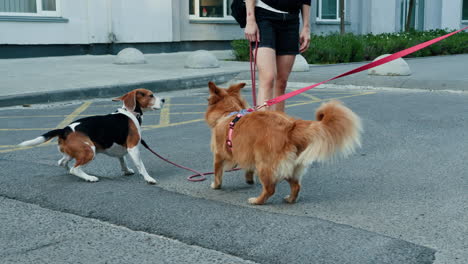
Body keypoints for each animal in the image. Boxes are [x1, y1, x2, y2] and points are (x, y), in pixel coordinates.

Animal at [18, 88, 165, 184]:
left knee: (63, 163)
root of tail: (65, 129)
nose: (163, 99)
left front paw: (126, 170)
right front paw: (148, 178)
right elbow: (141, 165)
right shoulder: (133, 147)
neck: (131, 113)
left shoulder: (121, 147)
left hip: (72, 152)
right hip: (90, 150)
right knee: (75, 168)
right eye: (151, 95)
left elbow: (122, 159)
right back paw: (89, 177)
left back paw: (76, 173)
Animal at [205, 81, 362, 205]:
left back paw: (257, 201)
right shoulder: (246, 153)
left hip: (265, 165)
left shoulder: (218, 155)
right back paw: (290, 199)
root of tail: (290, 128)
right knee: (296, 186)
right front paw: (249, 179)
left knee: (270, 189)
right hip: (290, 166)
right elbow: (248, 168)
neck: (229, 113)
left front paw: (216, 185)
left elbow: (217, 172)